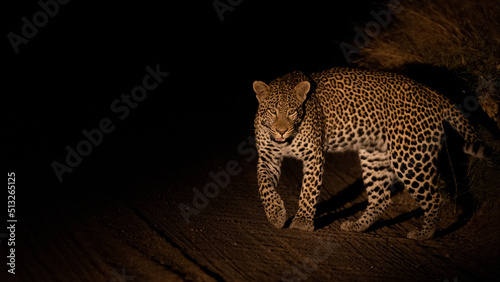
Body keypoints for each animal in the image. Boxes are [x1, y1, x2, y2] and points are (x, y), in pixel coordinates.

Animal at [252, 67, 494, 239]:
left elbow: (309, 190)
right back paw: (358, 226)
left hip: (408, 158)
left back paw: (425, 234)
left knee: (435, 197)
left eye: (292, 112)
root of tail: (433, 94)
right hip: (374, 156)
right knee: (381, 198)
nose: (281, 130)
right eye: (272, 111)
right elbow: (264, 185)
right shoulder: (267, 157)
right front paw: (276, 214)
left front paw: (302, 221)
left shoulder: (313, 155)